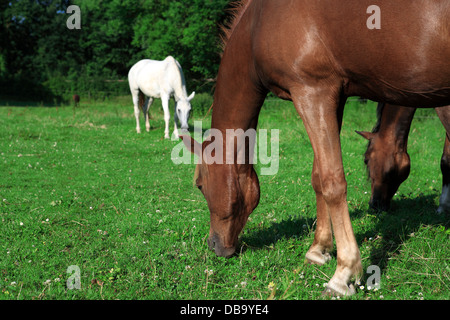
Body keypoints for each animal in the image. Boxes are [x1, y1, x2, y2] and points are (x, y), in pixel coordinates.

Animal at [182, 0, 450, 296]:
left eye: (199, 185)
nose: (213, 245)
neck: (257, 25)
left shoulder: (312, 91)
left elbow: (333, 182)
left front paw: (343, 273)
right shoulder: (335, 96)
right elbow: (318, 177)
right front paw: (319, 249)